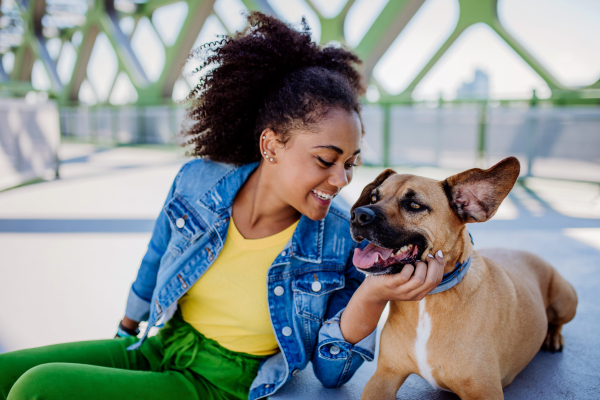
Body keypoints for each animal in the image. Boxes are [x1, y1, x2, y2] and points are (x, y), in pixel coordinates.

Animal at [352, 157, 576, 400]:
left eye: (414, 205)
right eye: (374, 197)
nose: (357, 215)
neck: (428, 300)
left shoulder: (485, 391)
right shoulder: (384, 375)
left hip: (566, 301)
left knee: (557, 322)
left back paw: (554, 337)